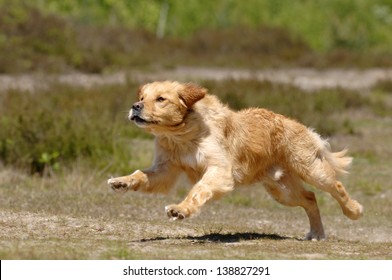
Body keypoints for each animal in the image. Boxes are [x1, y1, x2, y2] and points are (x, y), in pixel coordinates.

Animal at [106, 81, 362, 241]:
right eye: (141, 97)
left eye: (161, 99)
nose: (135, 107)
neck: (181, 135)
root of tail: (302, 126)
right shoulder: (165, 169)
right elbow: (140, 175)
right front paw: (121, 181)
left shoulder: (219, 170)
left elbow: (198, 190)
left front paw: (180, 209)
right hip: (282, 190)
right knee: (310, 198)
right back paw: (317, 233)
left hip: (310, 170)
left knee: (336, 186)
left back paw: (353, 211)